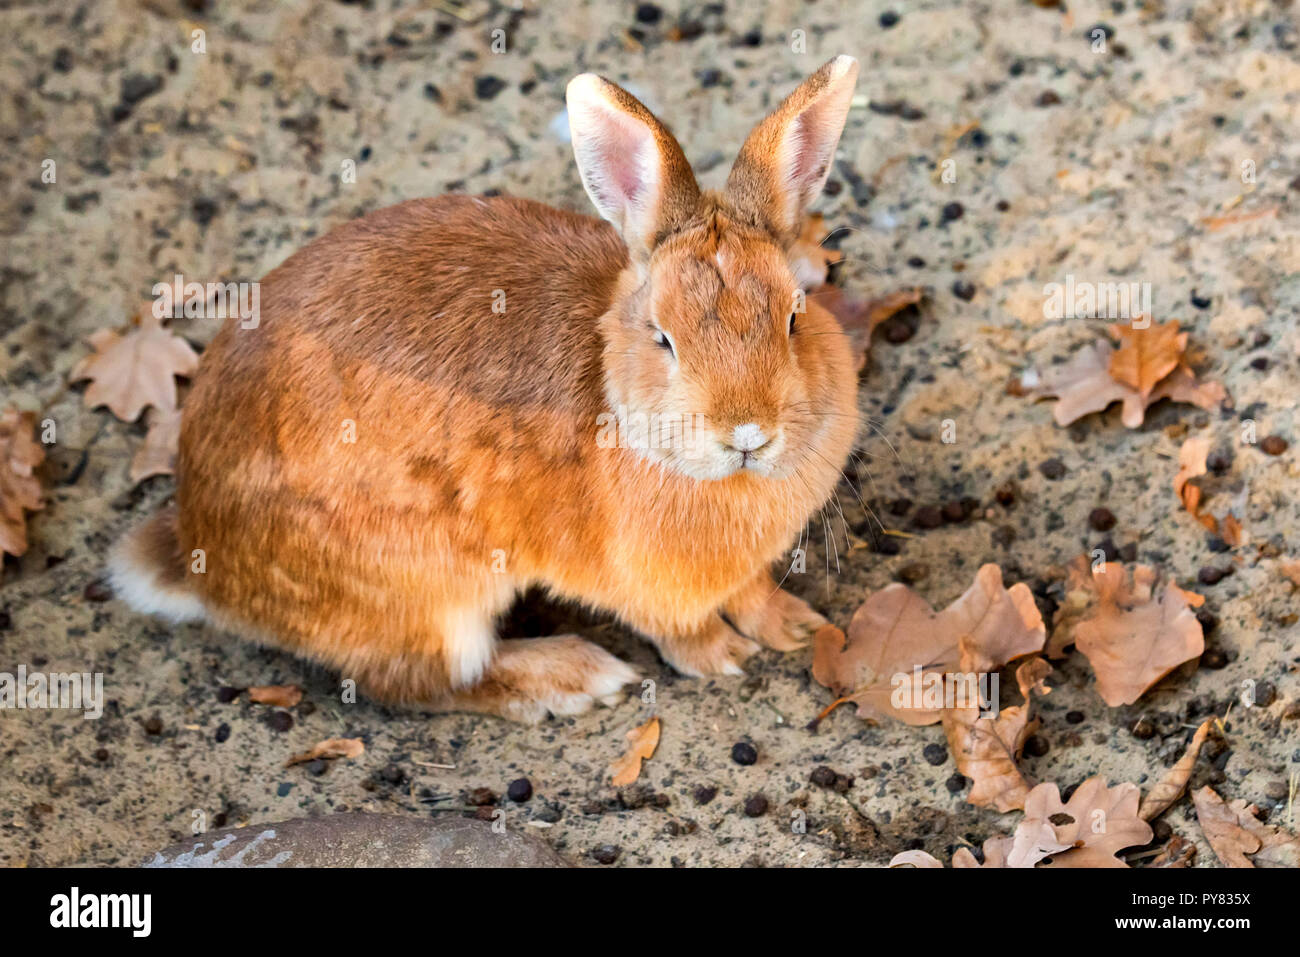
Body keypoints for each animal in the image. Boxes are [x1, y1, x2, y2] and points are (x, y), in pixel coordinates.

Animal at [108, 55, 863, 723]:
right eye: (663, 338)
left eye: (795, 317)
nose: (748, 434)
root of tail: (202, 557)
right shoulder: (648, 588)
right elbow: (681, 629)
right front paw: (722, 657)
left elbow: (755, 590)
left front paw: (794, 625)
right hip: (425, 592)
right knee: (424, 680)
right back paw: (571, 675)